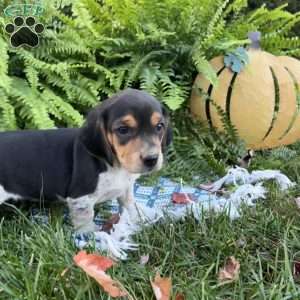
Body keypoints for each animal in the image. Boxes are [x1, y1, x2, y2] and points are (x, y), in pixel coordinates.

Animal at [0, 89, 171, 232]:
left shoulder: (126, 188)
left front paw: (139, 222)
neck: (114, 166)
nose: (152, 159)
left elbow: (130, 206)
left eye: (159, 126)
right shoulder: (81, 198)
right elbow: (87, 221)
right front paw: (92, 239)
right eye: (123, 130)